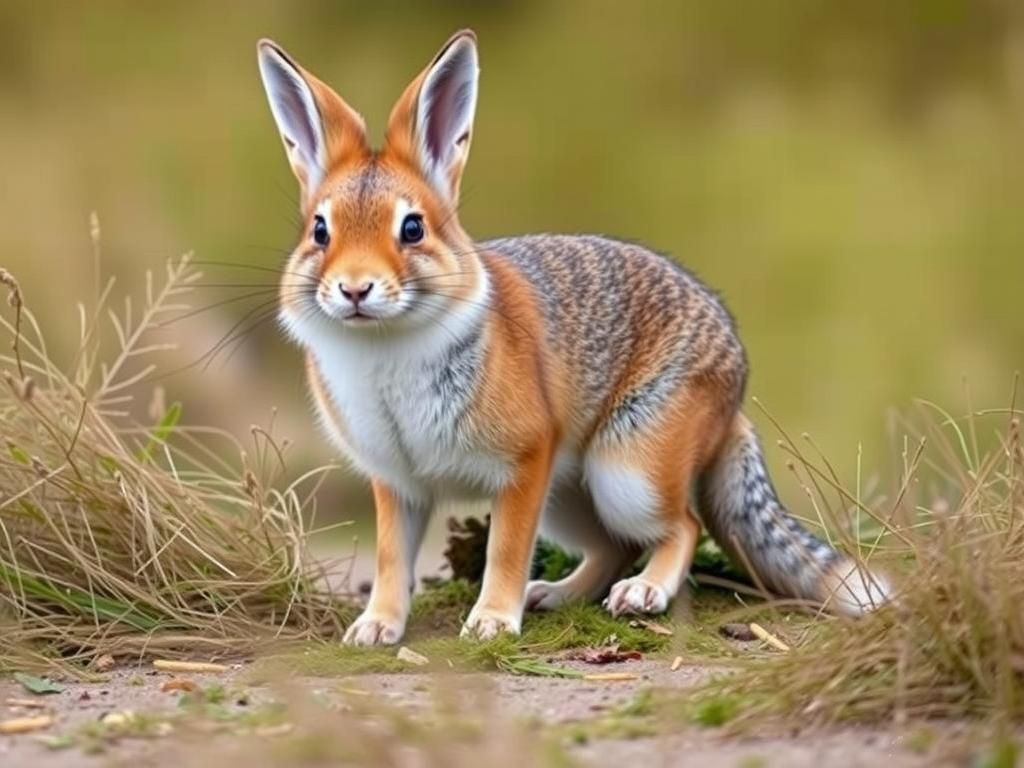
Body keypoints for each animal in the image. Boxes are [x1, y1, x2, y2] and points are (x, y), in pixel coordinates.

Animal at [256, 29, 889, 646]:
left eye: (412, 229)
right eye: (320, 231)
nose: (354, 289)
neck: (386, 348)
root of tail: (734, 398)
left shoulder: (524, 463)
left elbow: (505, 549)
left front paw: (492, 620)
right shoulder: (398, 483)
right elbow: (392, 560)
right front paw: (377, 626)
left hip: (625, 473)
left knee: (680, 525)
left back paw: (643, 592)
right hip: (572, 494)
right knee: (616, 546)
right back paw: (558, 594)